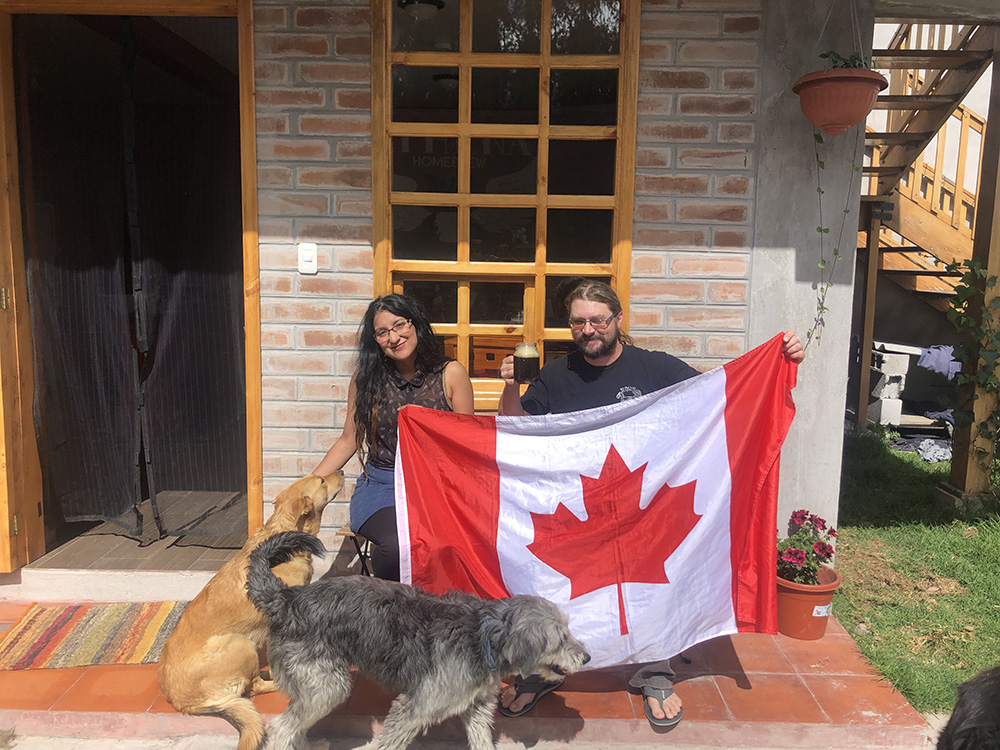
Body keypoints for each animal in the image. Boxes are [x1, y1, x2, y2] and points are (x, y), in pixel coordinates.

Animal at [249, 532, 588, 748]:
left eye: (569, 629)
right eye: (560, 638)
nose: (586, 657)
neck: (482, 637)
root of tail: (287, 598)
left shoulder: (476, 708)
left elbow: (482, 742)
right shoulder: (413, 708)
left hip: (316, 686)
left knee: (294, 726)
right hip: (328, 685)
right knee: (280, 728)